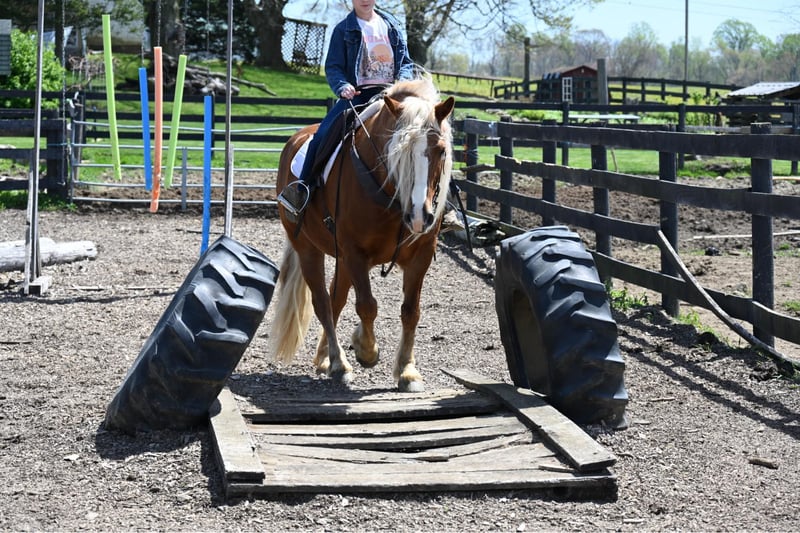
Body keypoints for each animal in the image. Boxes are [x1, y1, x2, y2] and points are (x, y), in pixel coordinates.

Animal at [270, 78, 455, 392]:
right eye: (397, 151)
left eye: (441, 150)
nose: (420, 216)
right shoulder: (354, 252)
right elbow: (367, 306)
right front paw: (366, 350)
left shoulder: (420, 256)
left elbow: (411, 311)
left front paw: (407, 371)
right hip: (309, 249)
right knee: (323, 303)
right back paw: (339, 364)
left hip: (342, 260)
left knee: (335, 300)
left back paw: (326, 358)